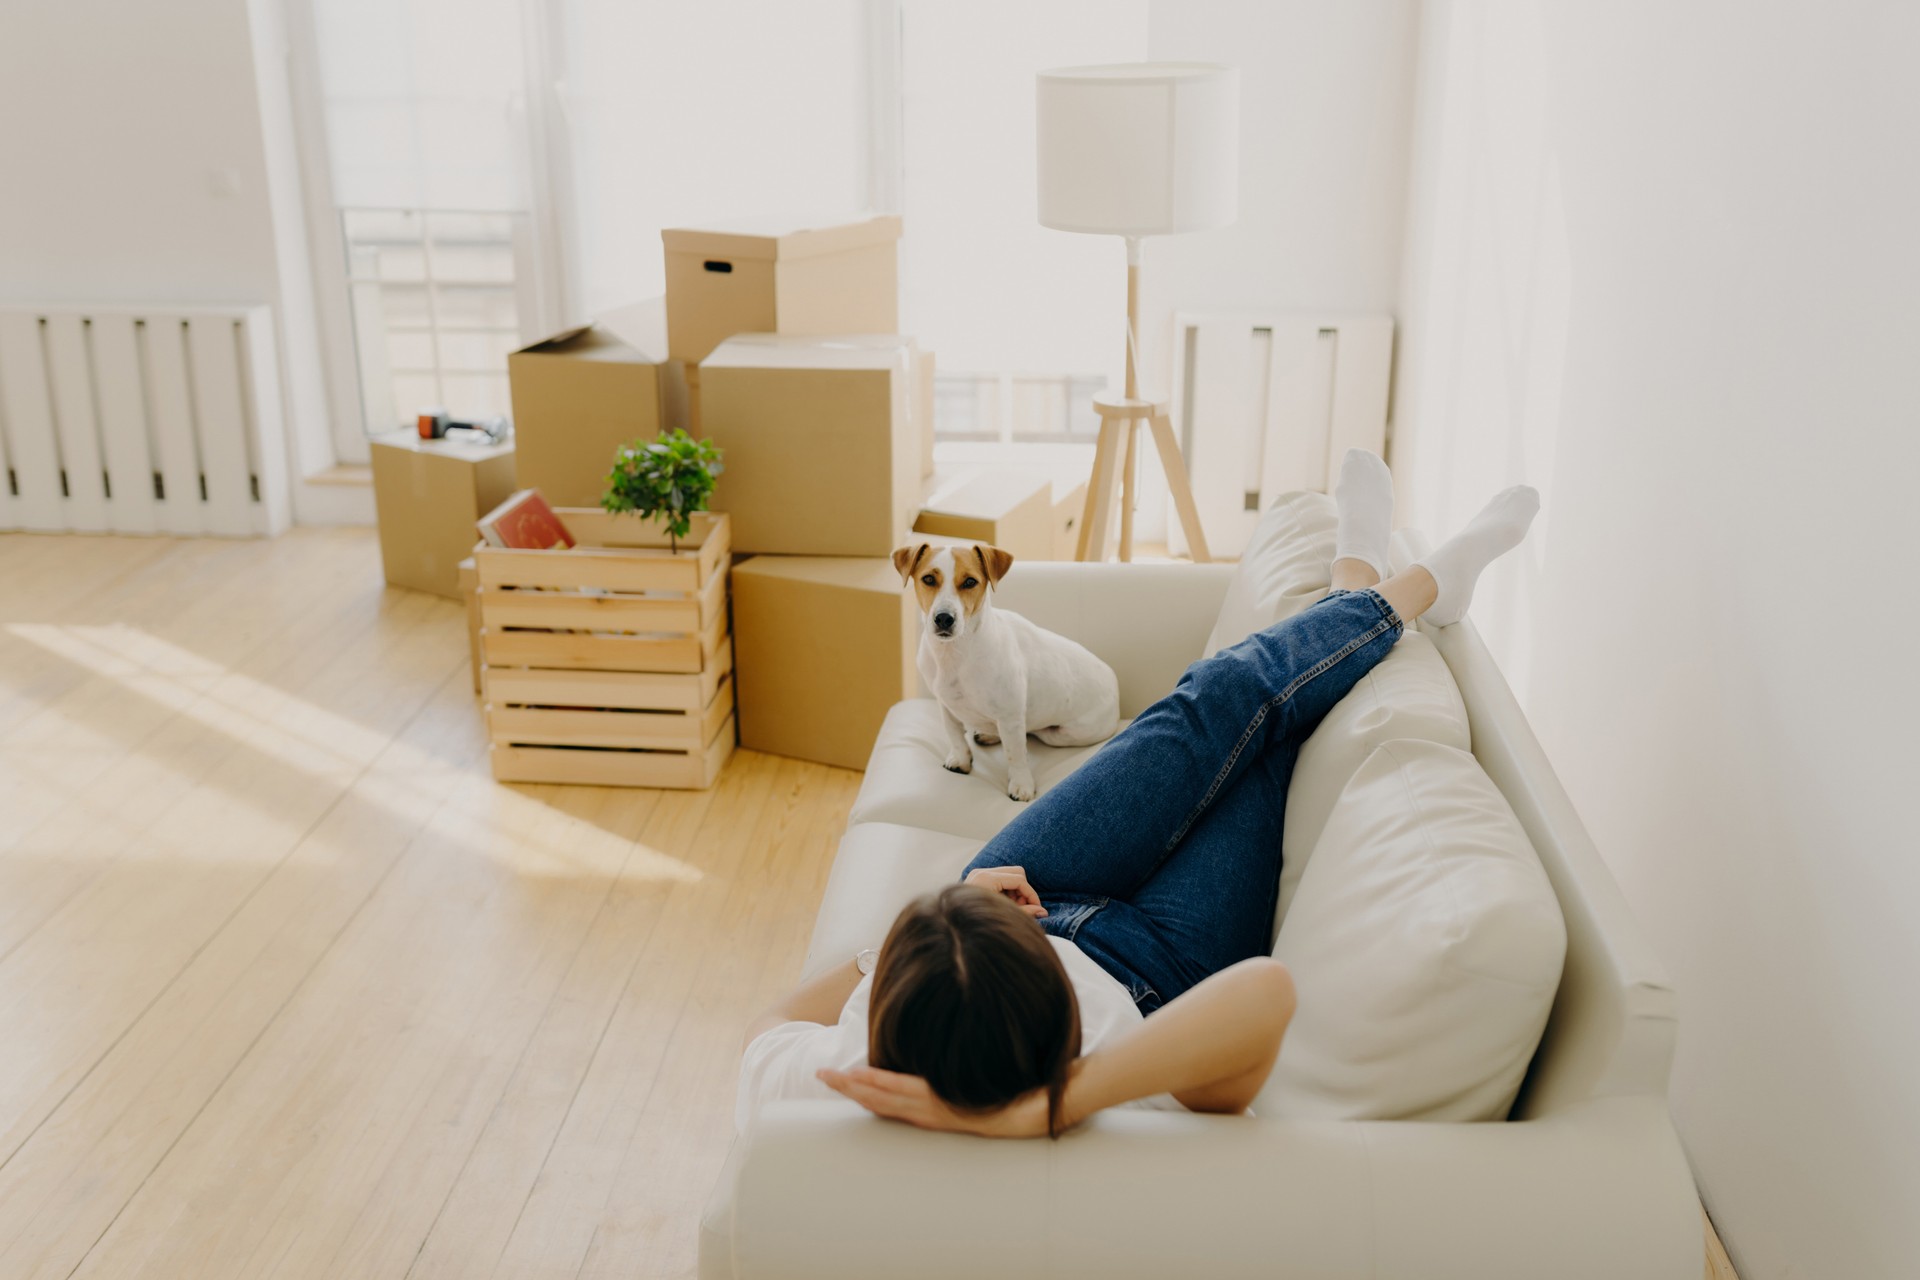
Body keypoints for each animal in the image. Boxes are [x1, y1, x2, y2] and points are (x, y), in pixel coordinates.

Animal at [890, 541, 1121, 802]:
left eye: (970, 581)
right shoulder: (946, 706)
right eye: (928, 579)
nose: (944, 618)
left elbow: (1015, 754)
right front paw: (961, 759)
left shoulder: (1010, 716)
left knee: (1029, 734)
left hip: (1064, 734)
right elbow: (955, 736)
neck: (956, 653)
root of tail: (1113, 680)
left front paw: (1021, 784)